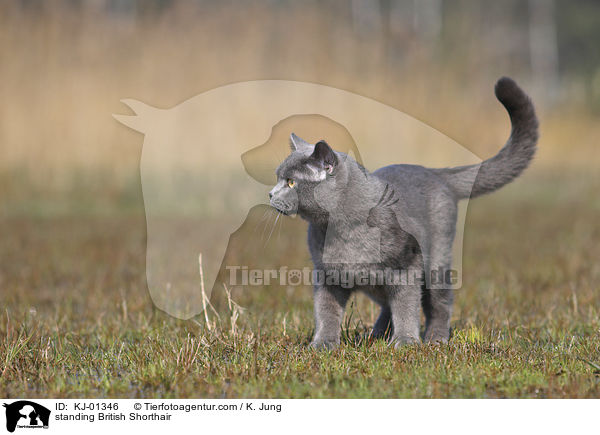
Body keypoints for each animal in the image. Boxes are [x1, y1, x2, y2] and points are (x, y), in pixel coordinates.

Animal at [270, 77, 536, 350]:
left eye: (291, 182)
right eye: (279, 178)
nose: (270, 194)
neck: (341, 231)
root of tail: (436, 172)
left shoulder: (407, 266)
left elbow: (406, 307)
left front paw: (406, 342)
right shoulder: (327, 274)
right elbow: (326, 311)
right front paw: (322, 344)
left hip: (435, 262)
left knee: (439, 304)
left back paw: (434, 339)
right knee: (387, 305)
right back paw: (376, 336)